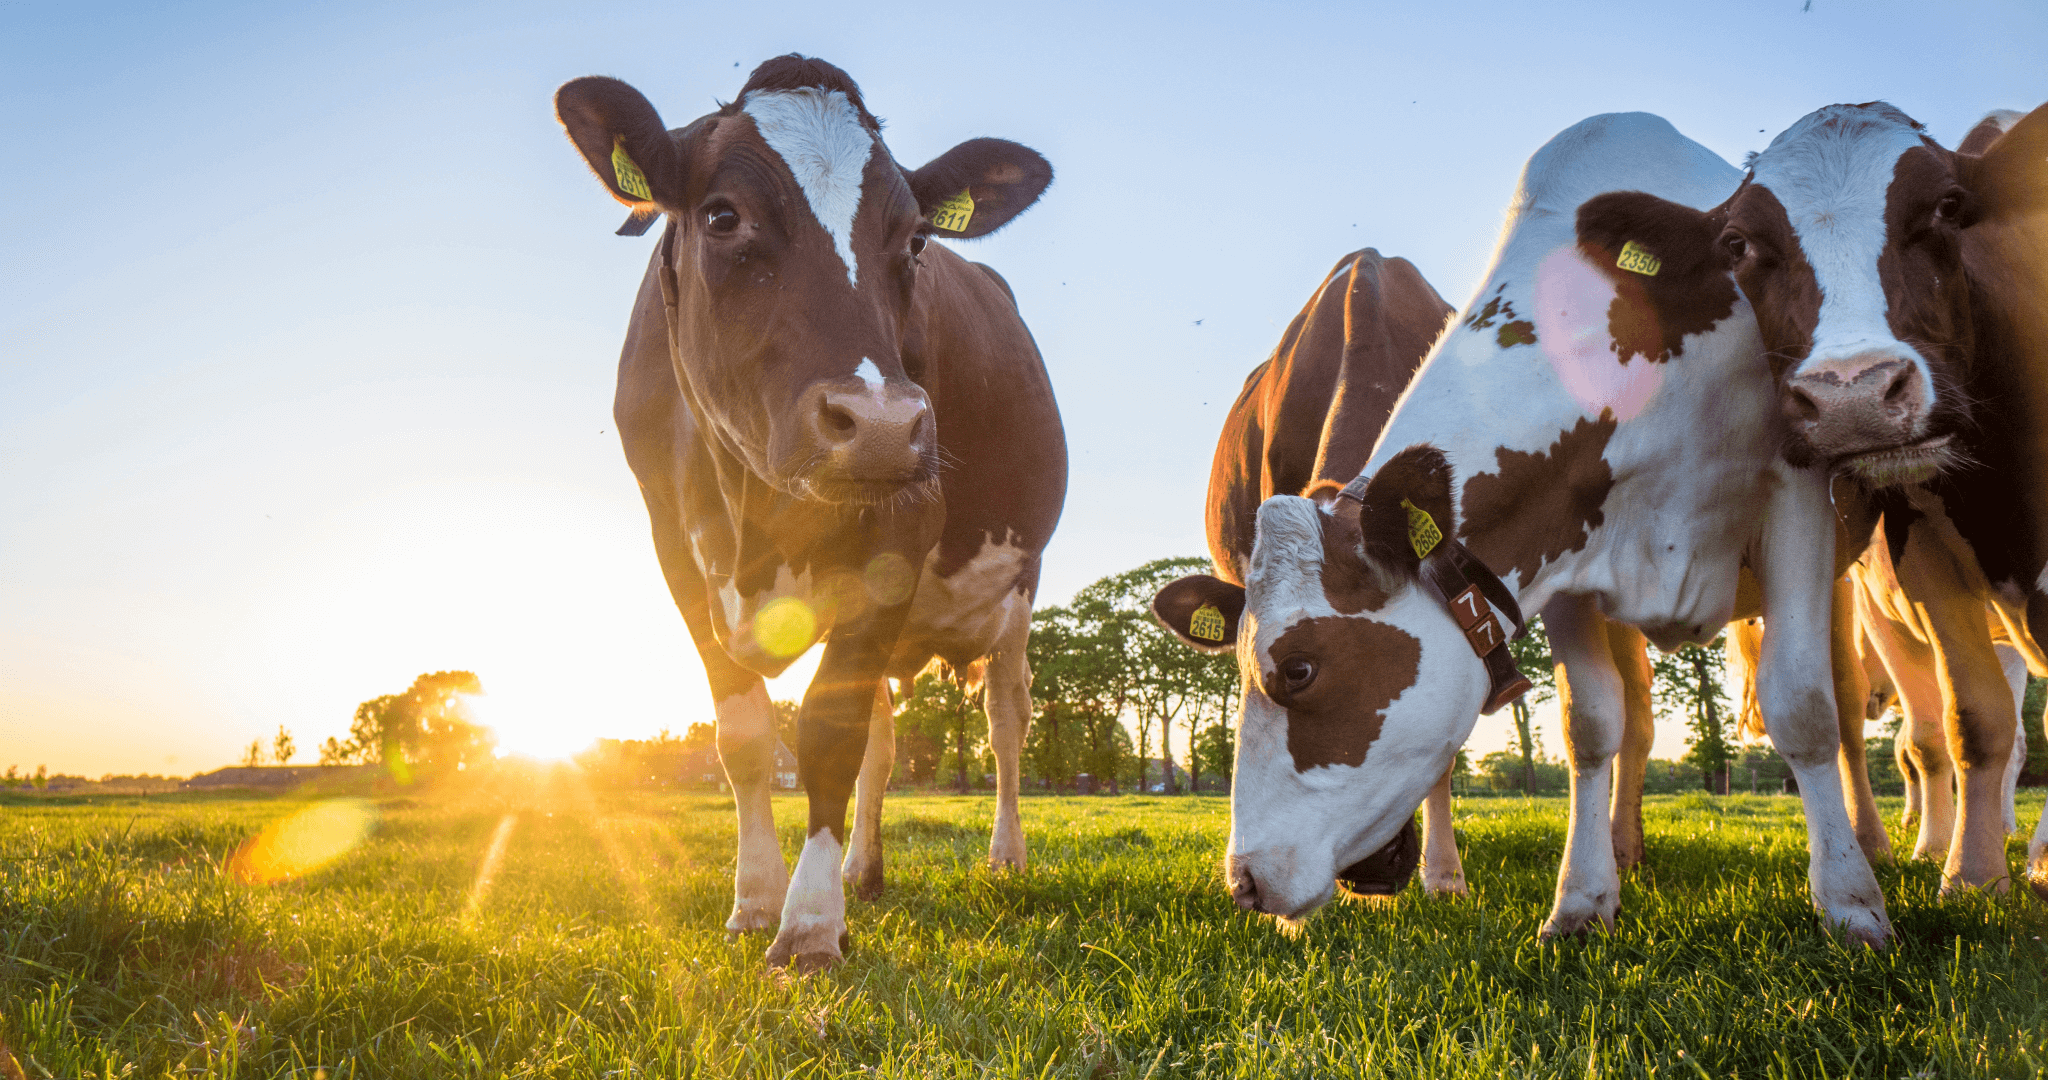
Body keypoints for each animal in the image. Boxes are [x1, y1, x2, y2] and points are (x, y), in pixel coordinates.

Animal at [557, 57, 1073, 971]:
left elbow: (828, 735)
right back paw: (865, 871)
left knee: (1006, 719)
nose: (881, 425)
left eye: (916, 240)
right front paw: (756, 900)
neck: (755, 511)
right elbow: (746, 736)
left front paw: (807, 926)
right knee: (885, 737)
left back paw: (1004, 859)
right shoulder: (675, 551)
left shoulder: (904, 529)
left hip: (1018, 584)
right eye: (723, 215)